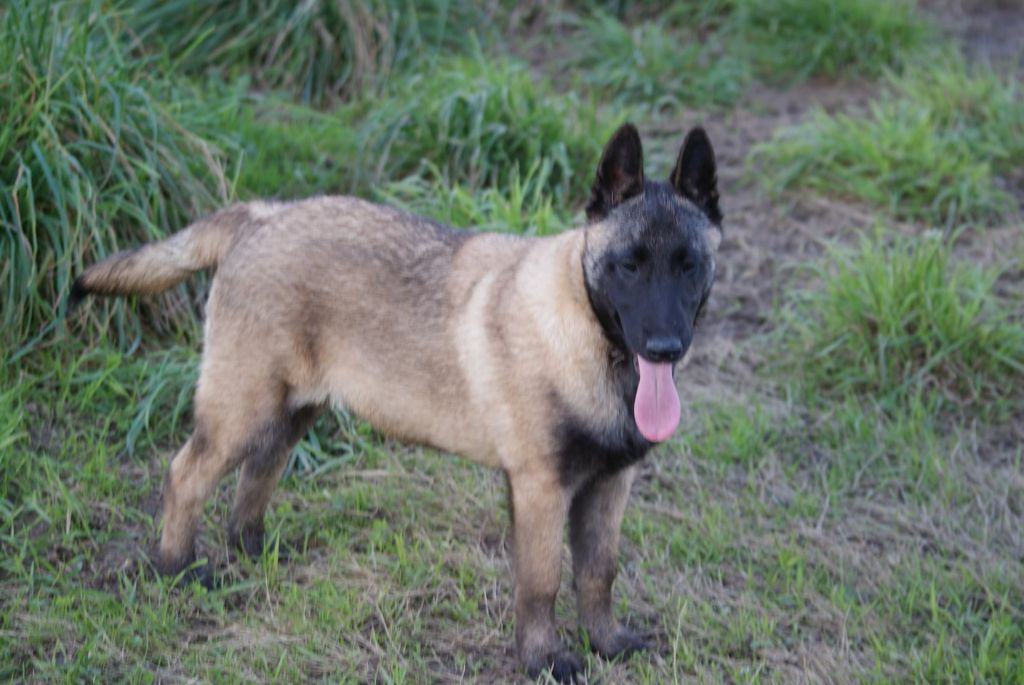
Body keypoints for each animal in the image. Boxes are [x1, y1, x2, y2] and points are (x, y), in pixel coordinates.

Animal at [72, 122, 720, 679]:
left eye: (689, 266)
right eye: (628, 266)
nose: (664, 348)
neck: (591, 339)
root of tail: (261, 217)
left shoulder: (610, 484)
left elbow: (598, 572)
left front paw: (605, 641)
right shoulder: (540, 487)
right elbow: (541, 583)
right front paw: (544, 659)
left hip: (290, 409)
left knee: (259, 471)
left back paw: (253, 550)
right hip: (242, 406)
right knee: (186, 474)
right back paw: (177, 569)